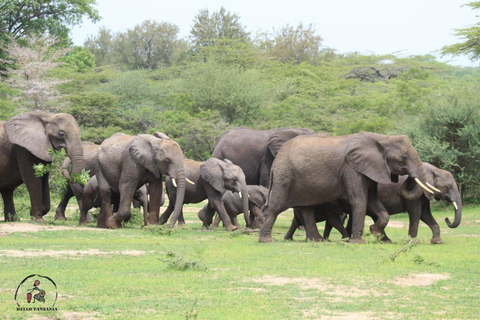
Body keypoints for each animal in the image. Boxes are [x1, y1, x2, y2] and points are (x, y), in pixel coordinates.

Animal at [258, 131, 436, 244]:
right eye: (403, 158)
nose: (408, 179)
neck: (382, 138)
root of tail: (277, 158)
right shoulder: (352, 169)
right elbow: (360, 200)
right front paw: (359, 241)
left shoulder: (369, 169)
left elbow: (373, 201)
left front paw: (375, 231)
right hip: (284, 177)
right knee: (275, 207)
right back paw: (266, 240)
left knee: (307, 209)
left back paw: (317, 240)